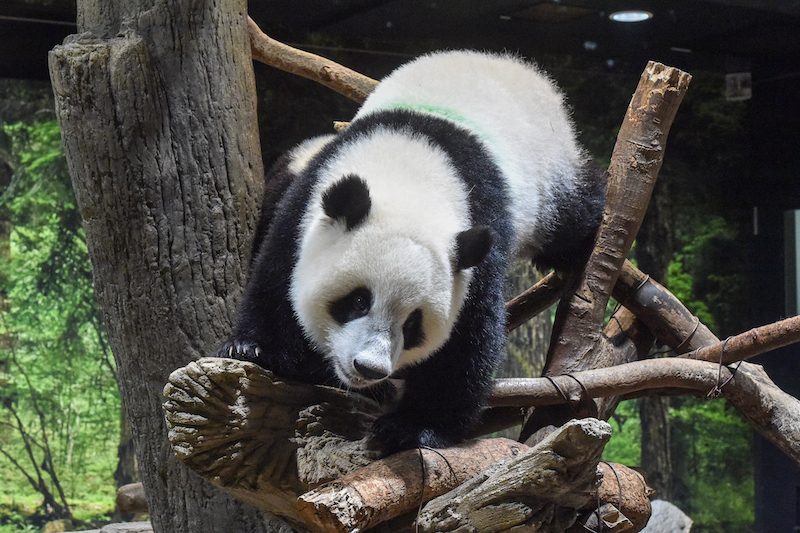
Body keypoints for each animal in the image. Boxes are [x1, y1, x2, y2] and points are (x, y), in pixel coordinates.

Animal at [212, 51, 608, 454]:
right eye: (358, 301)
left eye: (413, 324)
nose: (368, 368)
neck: (411, 171)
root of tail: (514, 64)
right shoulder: (311, 191)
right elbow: (278, 268)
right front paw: (254, 349)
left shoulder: (478, 231)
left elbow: (467, 336)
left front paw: (411, 427)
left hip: (549, 176)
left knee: (572, 217)